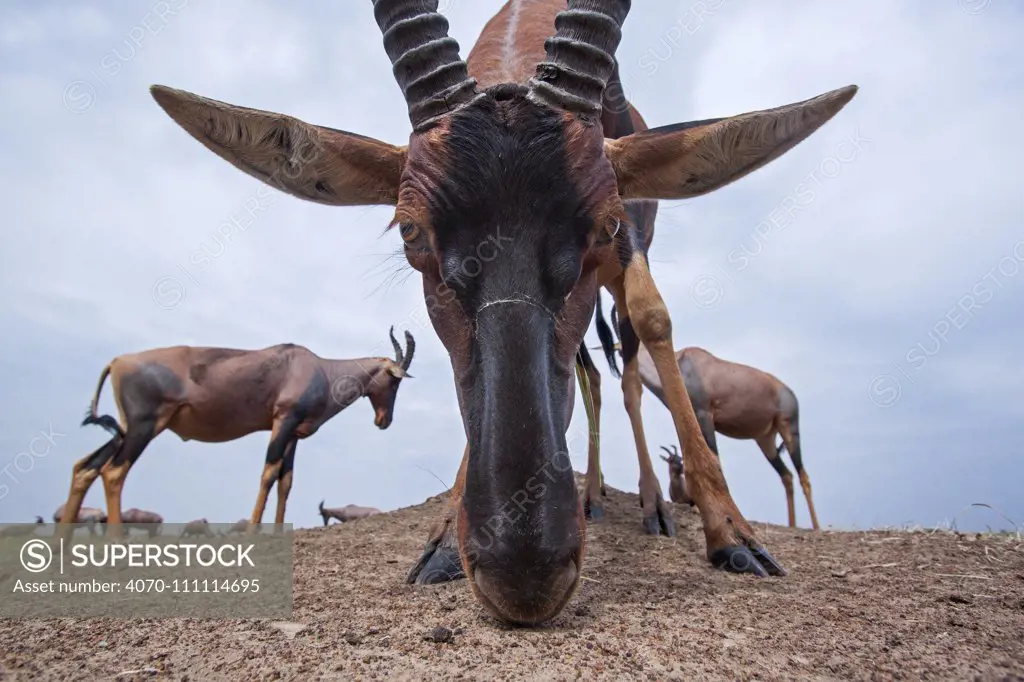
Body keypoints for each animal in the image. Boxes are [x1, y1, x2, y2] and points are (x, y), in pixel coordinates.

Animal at [56, 329, 413, 536]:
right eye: (394, 380)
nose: (384, 420)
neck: (320, 368)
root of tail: (117, 361)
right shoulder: (282, 422)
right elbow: (268, 474)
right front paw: (255, 531)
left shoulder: (293, 435)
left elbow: (286, 481)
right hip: (144, 427)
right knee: (113, 471)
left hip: (125, 429)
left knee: (85, 466)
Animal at [148, 0, 860, 622]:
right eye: (410, 232)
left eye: (602, 223)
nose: (524, 575)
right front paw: (441, 543)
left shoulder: (627, 239)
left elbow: (655, 319)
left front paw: (734, 536)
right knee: (592, 376)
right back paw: (594, 498)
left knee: (632, 358)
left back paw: (654, 507)